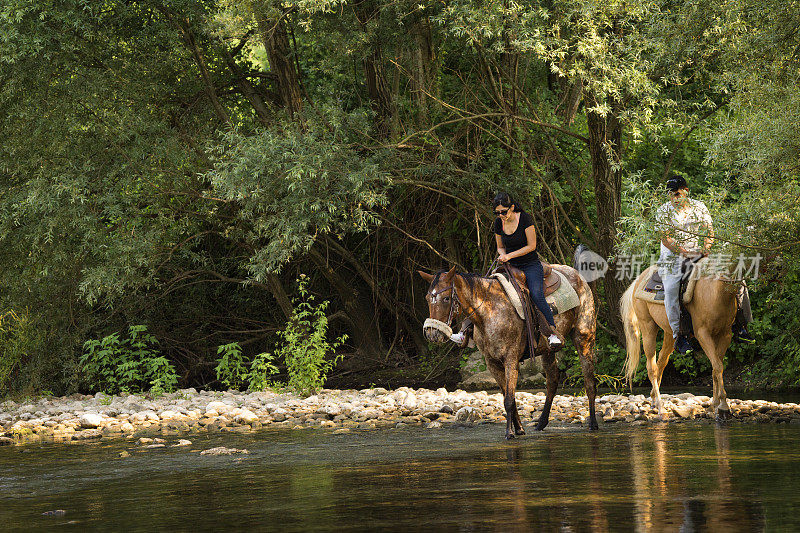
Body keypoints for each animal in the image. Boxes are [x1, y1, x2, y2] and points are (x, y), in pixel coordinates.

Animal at [422, 256, 596, 436]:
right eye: (427, 298)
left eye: (446, 298)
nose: (431, 334)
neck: (489, 311)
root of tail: (578, 276)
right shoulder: (492, 363)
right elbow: (508, 396)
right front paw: (519, 429)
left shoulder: (510, 359)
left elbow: (508, 400)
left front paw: (510, 433)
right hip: (547, 350)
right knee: (552, 381)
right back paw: (541, 423)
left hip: (584, 337)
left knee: (589, 381)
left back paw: (593, 424)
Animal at [620, 264, 740, 418]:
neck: (716, 290)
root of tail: (638, 279)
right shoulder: (703, 334)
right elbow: (718, 366)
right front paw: (723, 406)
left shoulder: (725, 334)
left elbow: (716, 368)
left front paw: (715, 406)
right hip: (647, 327)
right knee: (651, 367)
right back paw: (661, 408)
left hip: (669, 333)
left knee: (661, 362)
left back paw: (653, 400)